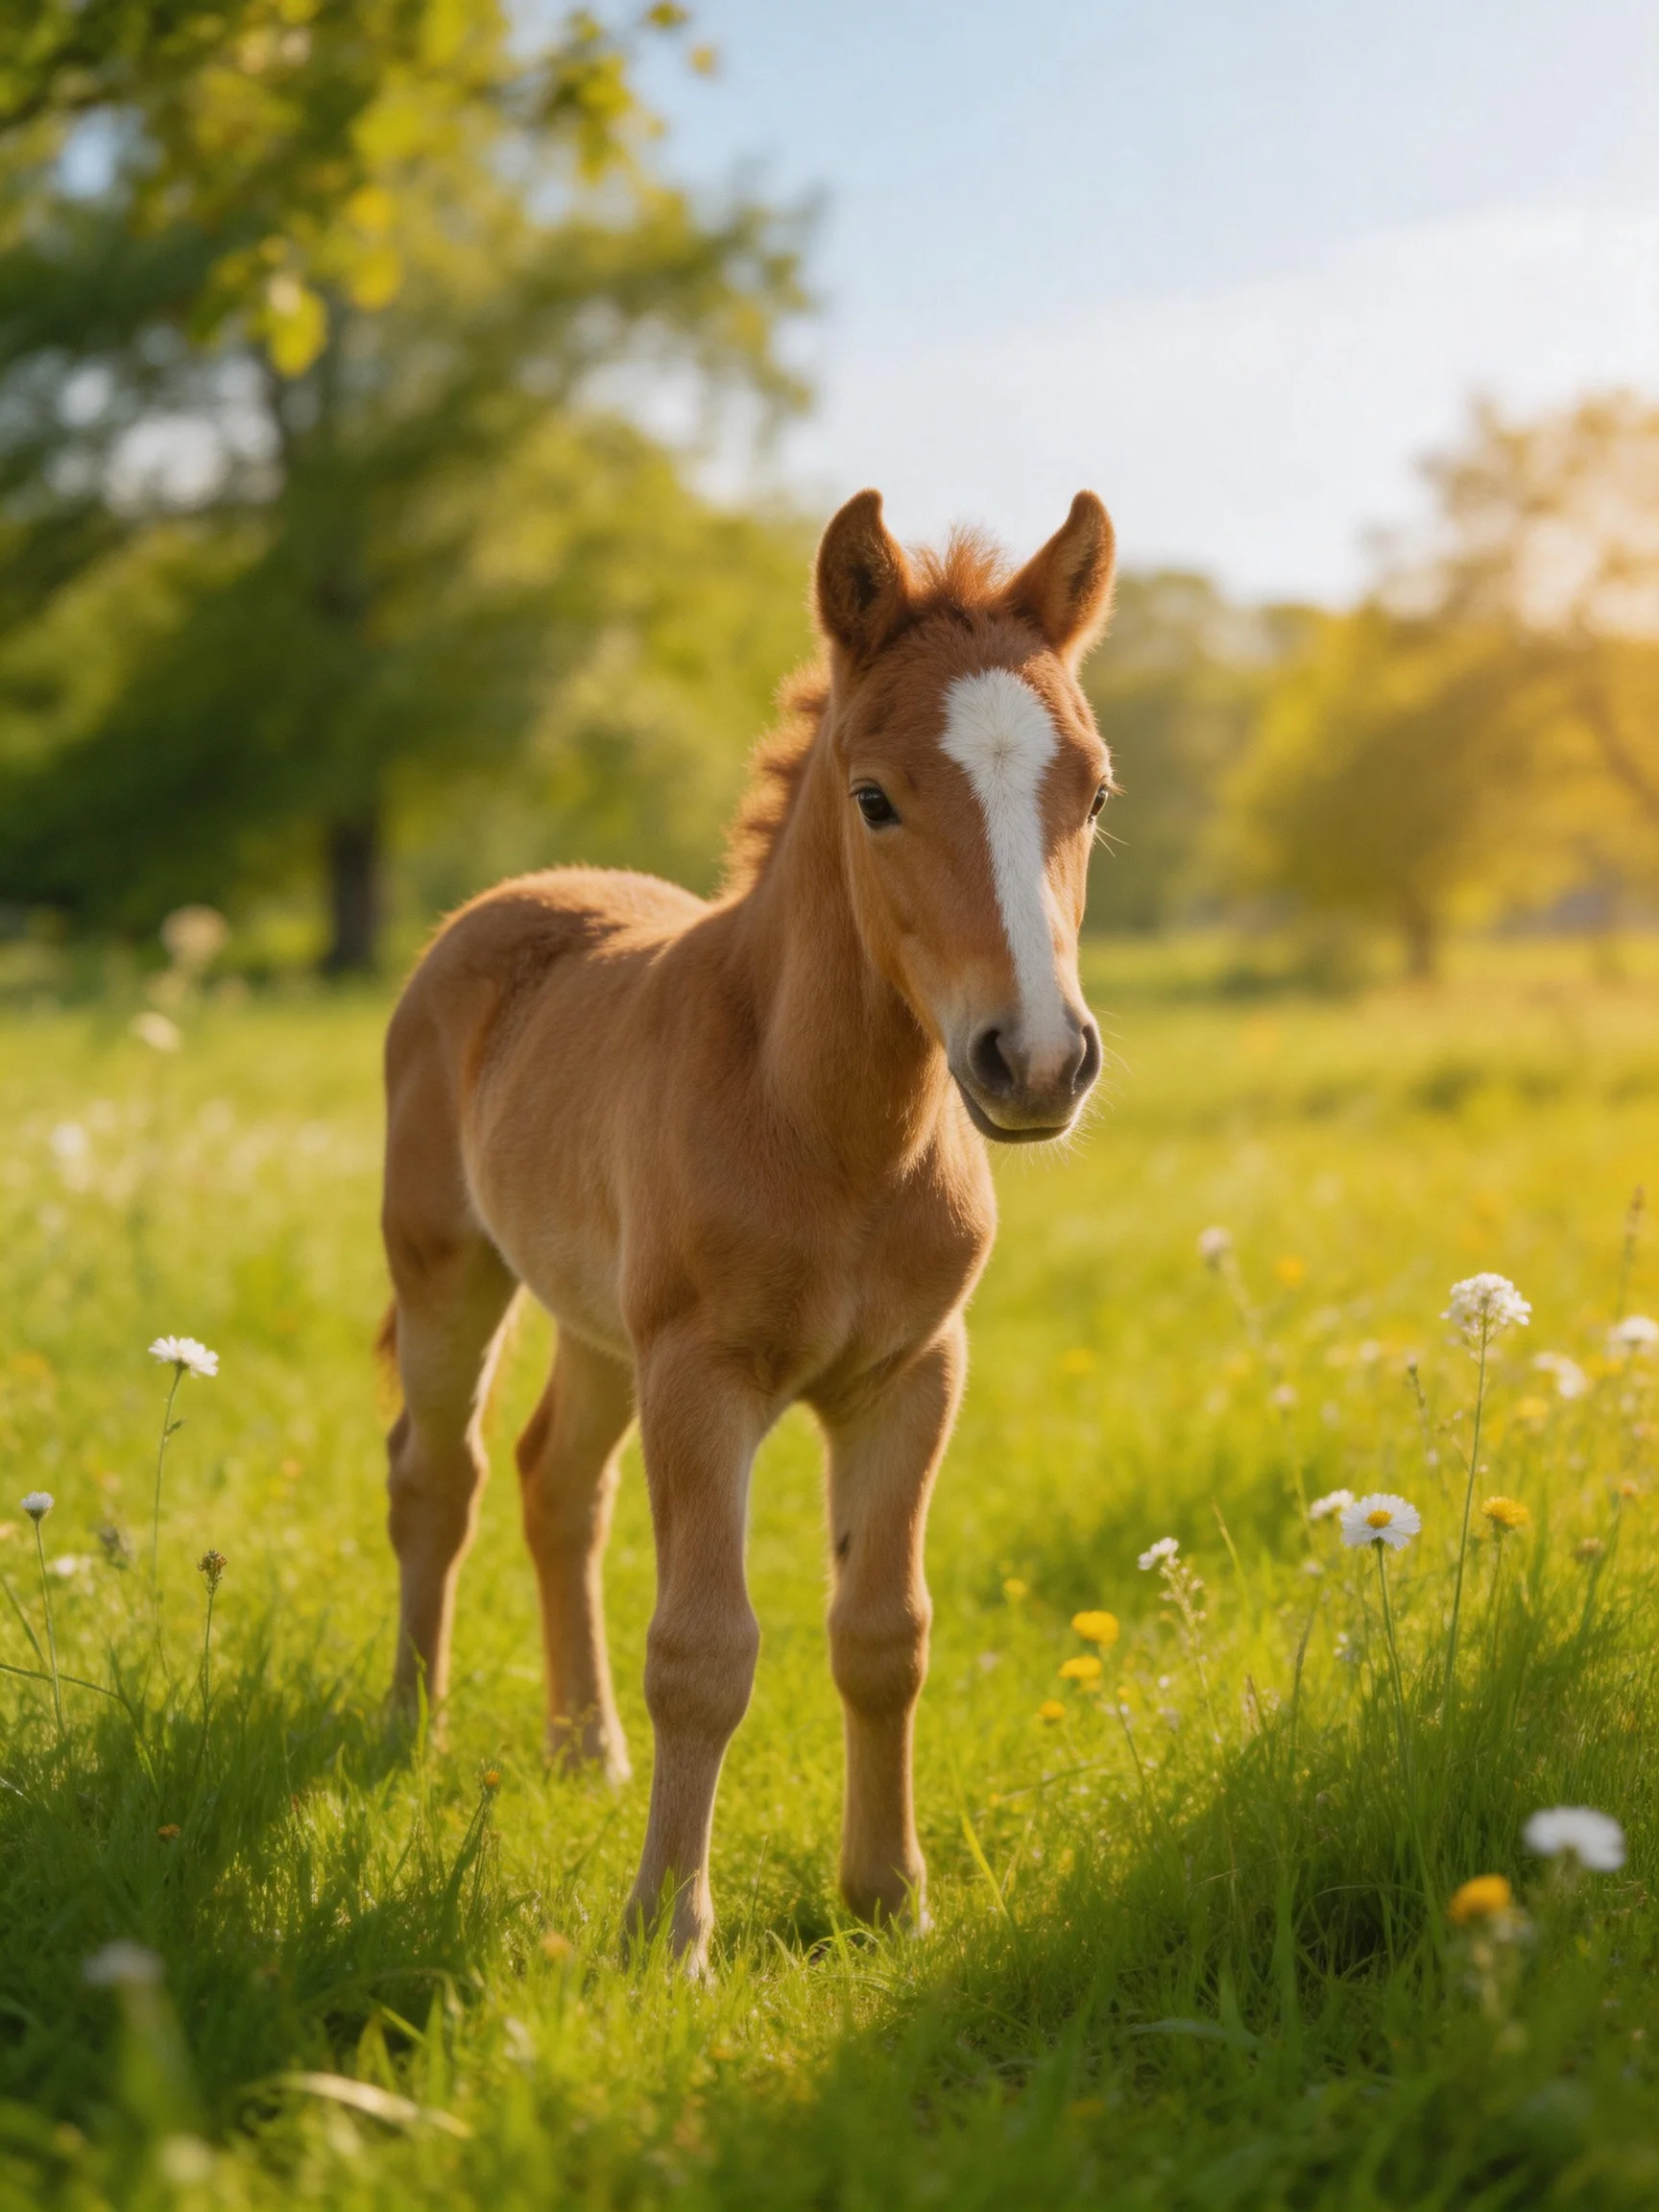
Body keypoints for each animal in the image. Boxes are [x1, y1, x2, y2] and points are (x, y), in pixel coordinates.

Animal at [378, 486, 1116, 1966]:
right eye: (875, 797)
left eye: (1096, 792)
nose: (1037, 1061)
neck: (830, 1130)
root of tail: (502, 902)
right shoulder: (703, 1375)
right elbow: (704, 1652)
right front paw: (667, 1933)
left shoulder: (911, 1373)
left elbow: (885, 1632)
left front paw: (890, 1899)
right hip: (450, 1273)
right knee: (440, 1472)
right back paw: (407, 1728)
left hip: (599, 1325)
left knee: (557, 1483)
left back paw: (584, 1750)